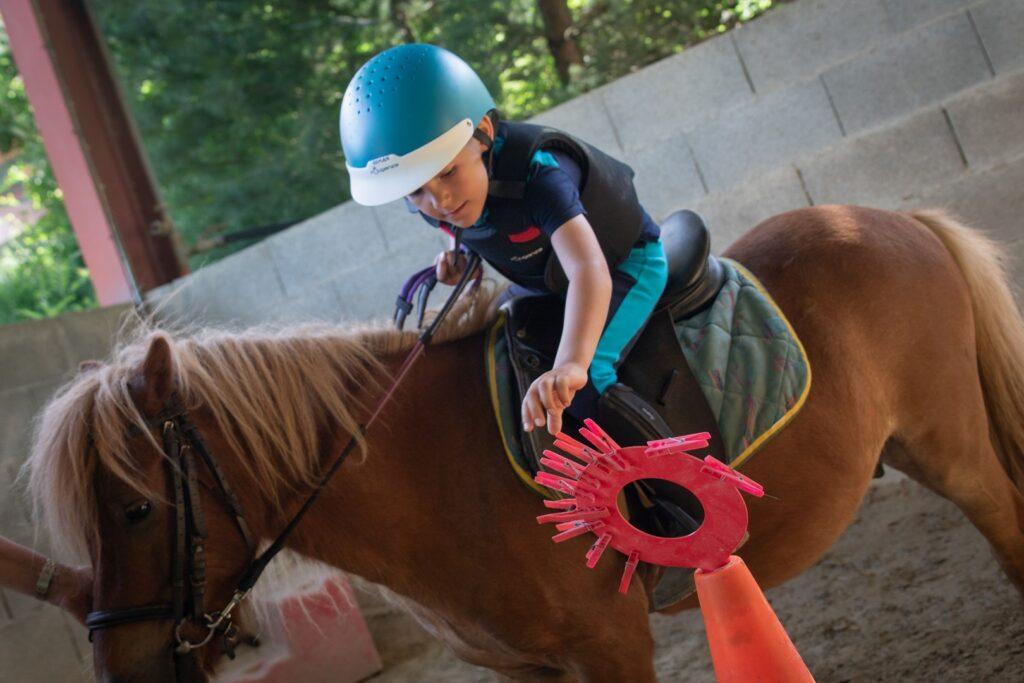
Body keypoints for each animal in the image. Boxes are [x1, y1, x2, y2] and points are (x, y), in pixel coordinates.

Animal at [22, 205, 1024, 679]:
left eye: (136, 508)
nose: (122, 669)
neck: (432, 474)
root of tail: (892, 221)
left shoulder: (613, 652)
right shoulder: (533, 672)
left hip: (953, 451)